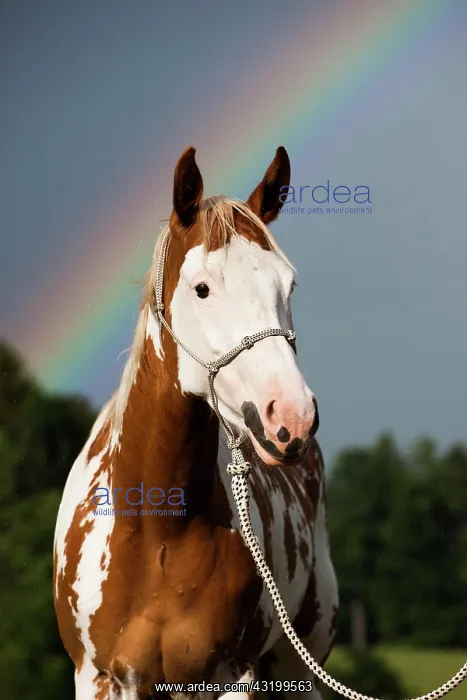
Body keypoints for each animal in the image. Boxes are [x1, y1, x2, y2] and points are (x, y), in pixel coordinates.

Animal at [53, 145, 339, 700]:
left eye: (288, 283)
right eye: (202, 288)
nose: (291, 417)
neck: (157, 530)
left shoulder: (231, 676)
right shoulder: (99, 678)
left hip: (302, 667)